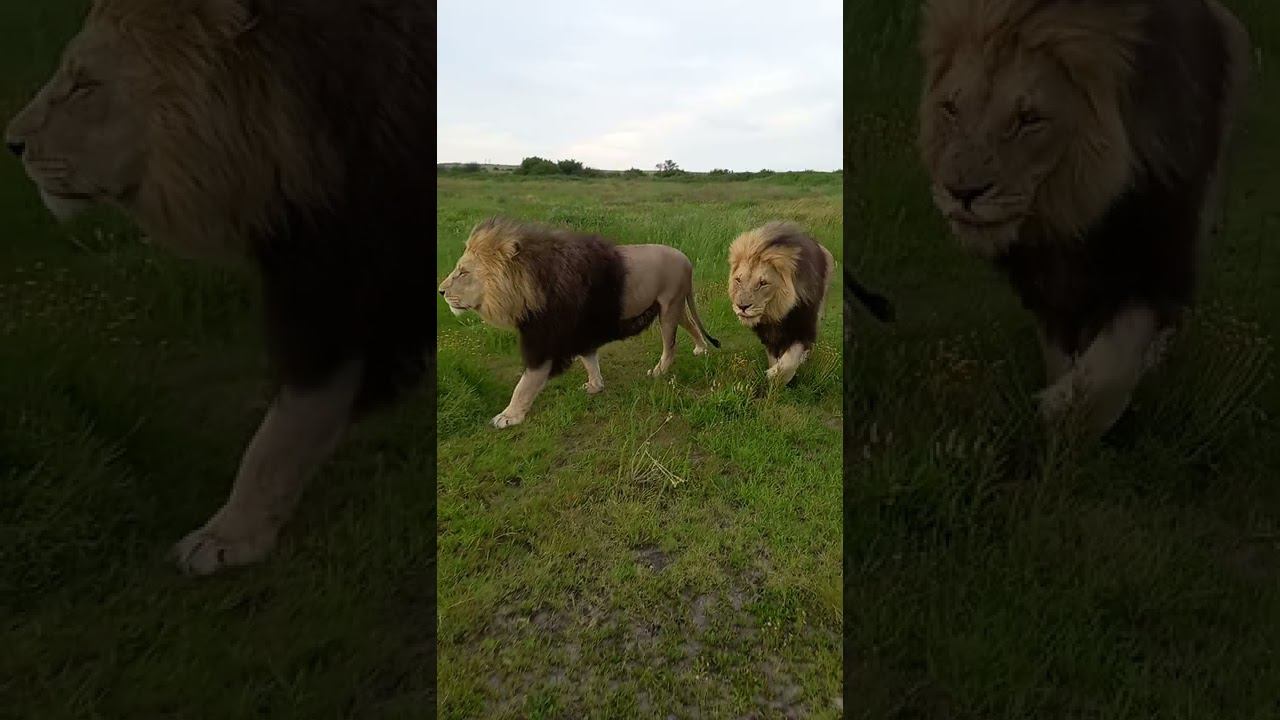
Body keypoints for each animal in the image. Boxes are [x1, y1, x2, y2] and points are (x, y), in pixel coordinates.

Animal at [438, 217, 720, 428]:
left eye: (463, 272)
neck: (528, 285)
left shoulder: (544, 340)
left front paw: (509, 416)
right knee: (691, 325)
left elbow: (526, 383)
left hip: (669, 307)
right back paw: (701, 348)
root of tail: (686, 259)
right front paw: (595, 386)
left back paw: (660, 371)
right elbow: (589, 360)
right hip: (672, 306)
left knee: (670, 346)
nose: (440, 291)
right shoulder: (579, 331)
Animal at [728, 222, 842, 386]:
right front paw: (774, 380)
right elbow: (774, 359)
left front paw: (776, 377)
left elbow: (789, 362)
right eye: (738, 280)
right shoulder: (769, 336)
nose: (742, 307)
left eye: (763, 283)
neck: (778, 313)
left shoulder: (803, 329)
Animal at [919, 0, 1250, 435]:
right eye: (952, 109)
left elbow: (1110, 366)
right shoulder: (1047, 285)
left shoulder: (1159, 259)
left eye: (1029, 118)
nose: (962, 193)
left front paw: (1065, 410)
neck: (1077, 213)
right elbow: (1063, 357)